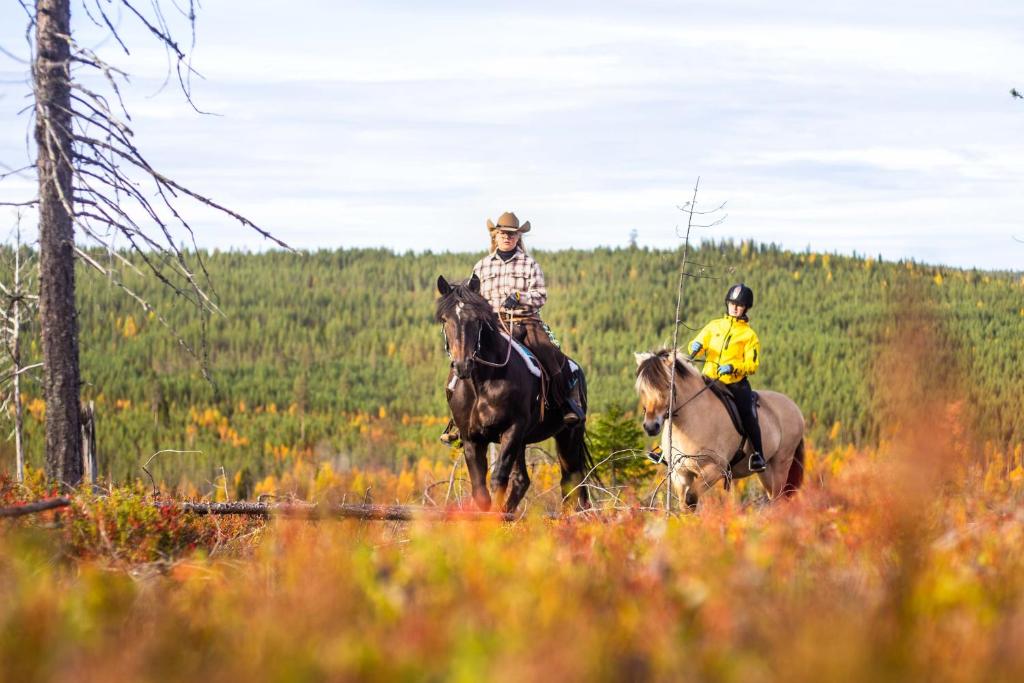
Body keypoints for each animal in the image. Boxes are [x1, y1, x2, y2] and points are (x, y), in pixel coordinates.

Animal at [434, 272, 593, 511]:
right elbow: (480, 491)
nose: (463, 365)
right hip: (525, 441)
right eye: (445, 320)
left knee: (572, 481)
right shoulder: (472, 438)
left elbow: (498, 478)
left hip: (568, 435)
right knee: (523, 481)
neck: (481, 385)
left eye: (477, 319)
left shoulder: (512, 429)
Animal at [630, 350, 806, 509]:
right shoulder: (680, 474)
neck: (689, 422)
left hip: (781, 464)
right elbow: (684, 505)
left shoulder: (715, 469)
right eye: (642, 389)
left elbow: (690, 498)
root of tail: (795, 408)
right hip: (766, 471)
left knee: (780, 498)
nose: (651, 426)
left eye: (668, 385)